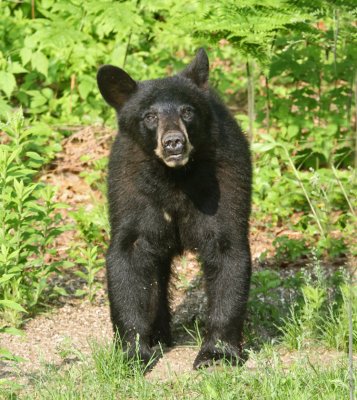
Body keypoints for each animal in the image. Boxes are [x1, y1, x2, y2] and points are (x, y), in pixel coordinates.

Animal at [96, 49, 250, 368]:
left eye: (187, 111)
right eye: (150, 116)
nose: (174, 143)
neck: (174, 178)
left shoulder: (224, 177)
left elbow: (227, 250)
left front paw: (217, 353)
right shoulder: (130, 187)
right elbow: (129, 256)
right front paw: (133, 352)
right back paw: (158, 335)